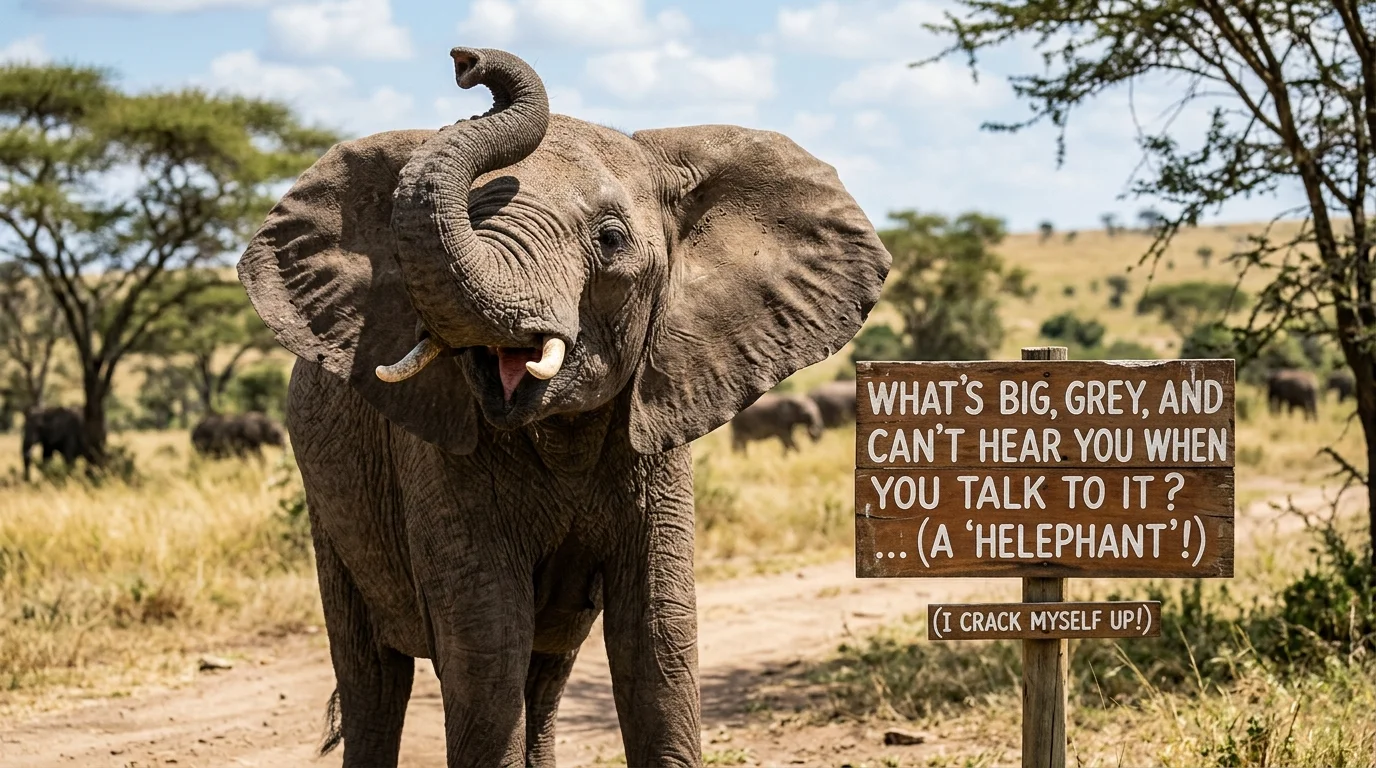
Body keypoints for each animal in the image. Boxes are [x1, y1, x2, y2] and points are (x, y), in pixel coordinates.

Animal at [235, 47, 888, 768]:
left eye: (610, 239)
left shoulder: (654, 435)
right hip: (329, 502)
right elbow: (486, 648)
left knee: (544, 676)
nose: (467, 61)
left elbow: (657, 643)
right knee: (375, 680)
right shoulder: (436, 458)